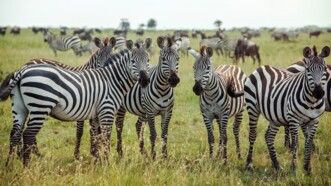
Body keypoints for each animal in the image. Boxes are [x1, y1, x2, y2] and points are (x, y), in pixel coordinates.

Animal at [0, 38, 152, 165]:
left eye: (148, 60)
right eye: (133, 61)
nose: (145, 81)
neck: (113, 80)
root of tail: (22, 70)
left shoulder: (96, 114)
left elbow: (97, 136)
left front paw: (97, 161)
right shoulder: (106, 111)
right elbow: (105, 137)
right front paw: (107, 163)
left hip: (20, 108)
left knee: (15, 133)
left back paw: (10, 164)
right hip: (40, 107)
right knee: (28, 134)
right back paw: (27, 164)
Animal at [245, 45, 330, 174]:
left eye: (324, 69)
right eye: (308, 70)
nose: (319, 93)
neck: (312, 102)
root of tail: (261, 67)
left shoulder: (315, 121)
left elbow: (308, 143)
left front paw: (307, 168)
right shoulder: (294, 120)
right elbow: (294, 145)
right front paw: (294, 168)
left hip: (274, 116)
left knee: (269, 137)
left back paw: (277, 165)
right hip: (252, 108)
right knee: (252, 135)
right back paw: (249, 164)